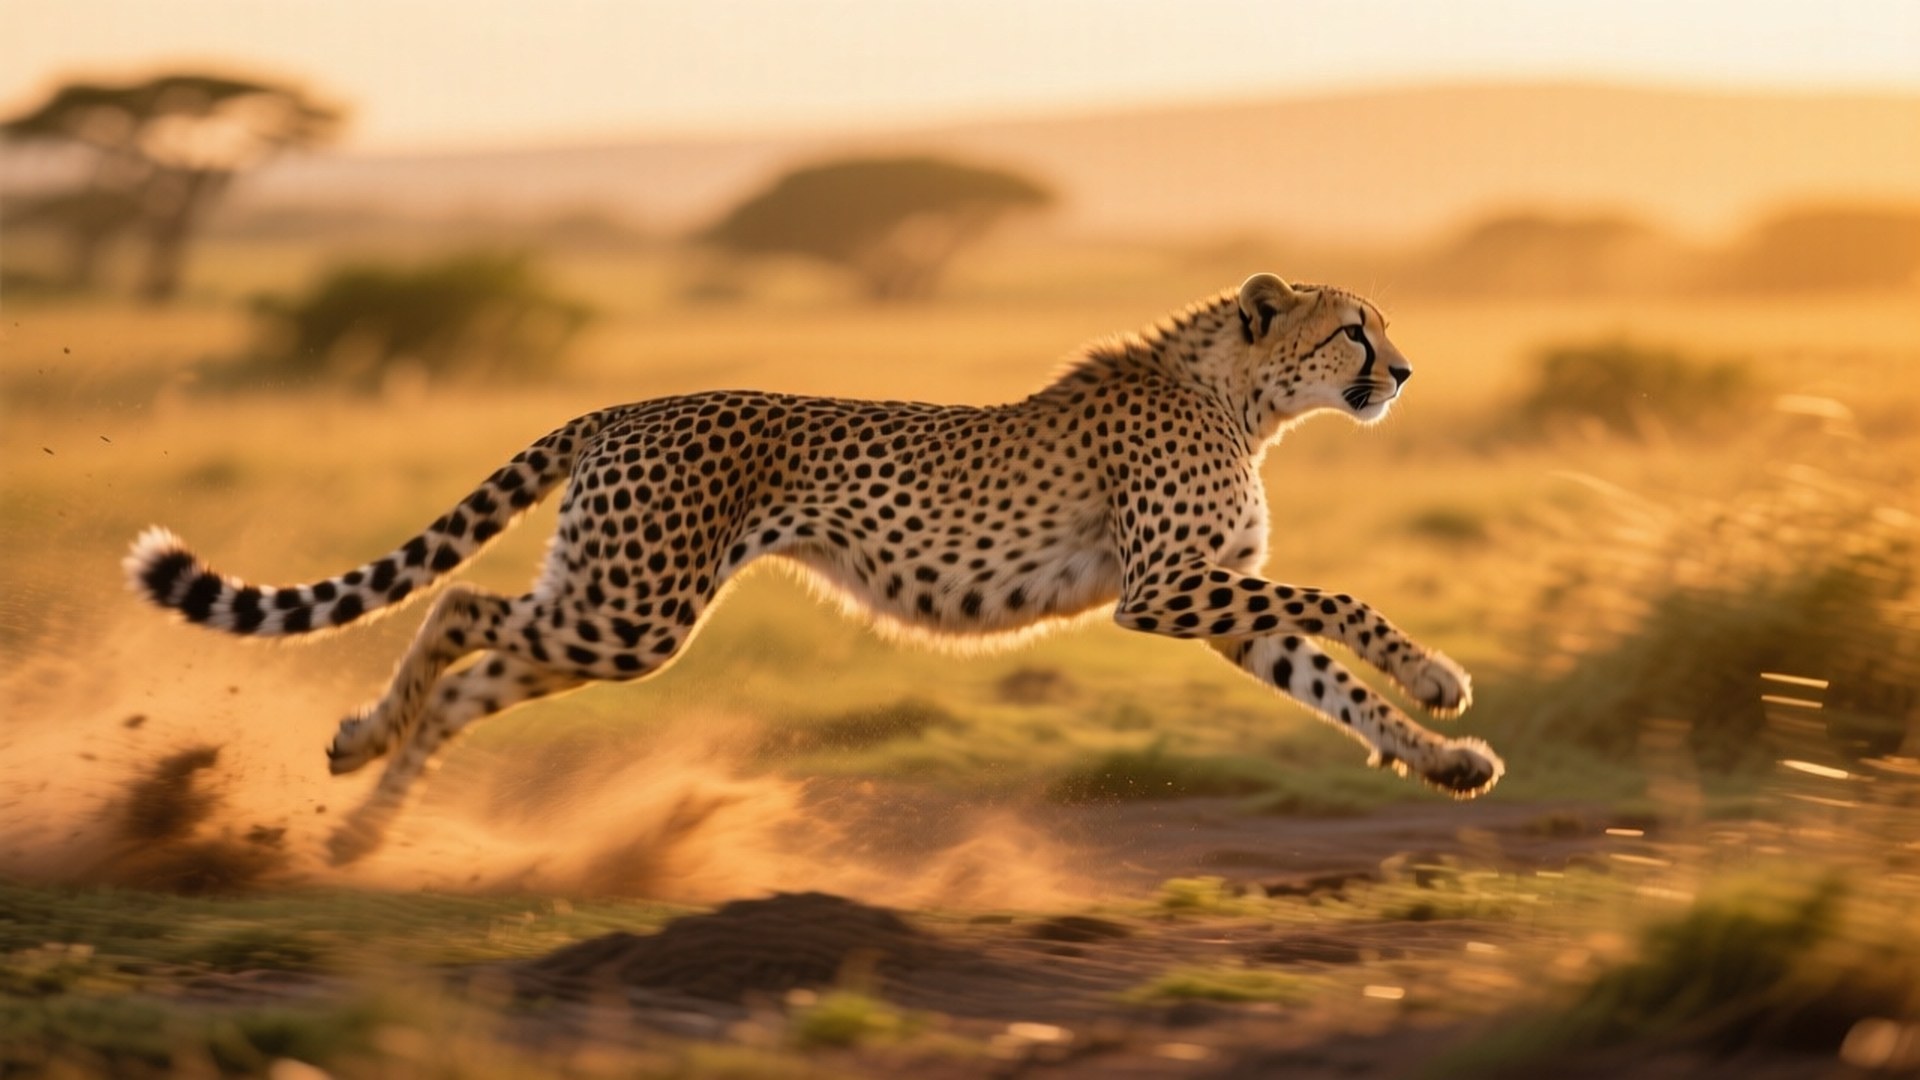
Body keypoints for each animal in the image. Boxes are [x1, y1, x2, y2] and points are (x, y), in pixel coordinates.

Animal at [126, 273, 1503, 864]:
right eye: (1354, 330)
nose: (1405, 370)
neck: (1241, 396)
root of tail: (630, 403)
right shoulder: (1164, 592)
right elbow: (1343, 601)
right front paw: (1441, 679)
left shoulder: (1217, 611)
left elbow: (1334, 688)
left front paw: (1445, 758)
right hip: (634, 610)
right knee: (463, 605)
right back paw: (359, 745)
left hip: (608, 608)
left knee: (475, 661)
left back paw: (365, 817)